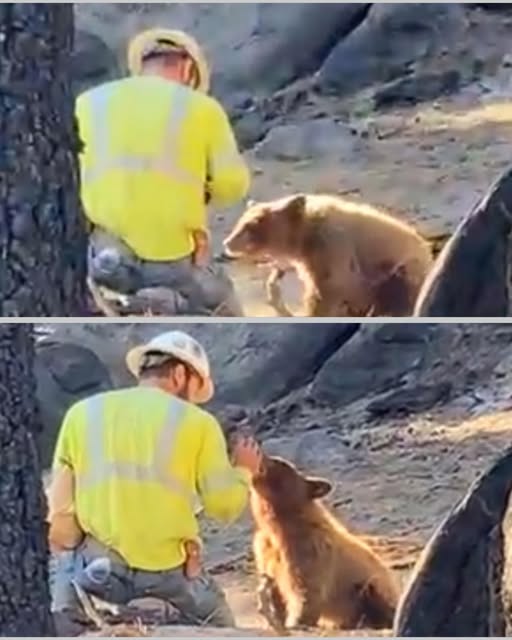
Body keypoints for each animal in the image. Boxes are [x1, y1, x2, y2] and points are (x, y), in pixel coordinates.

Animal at [223, 193, 434, 317]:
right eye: (240, 222)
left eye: (251, 225)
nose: (227, 243)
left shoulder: (332, 246)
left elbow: (327, 288)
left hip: (401, 270)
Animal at [249, 455, 400, 632]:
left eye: (282, 463)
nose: (261, 456)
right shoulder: (265, 548)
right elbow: (274, 585)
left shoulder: (310, 549)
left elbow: (307, 590)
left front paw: (294, 623)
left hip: (369, 588)